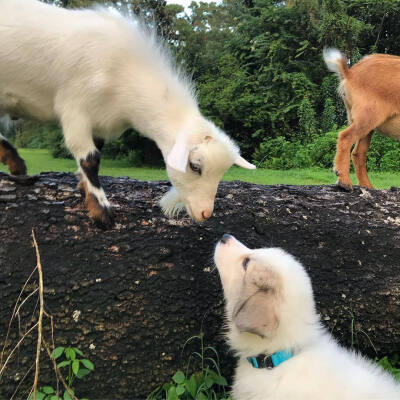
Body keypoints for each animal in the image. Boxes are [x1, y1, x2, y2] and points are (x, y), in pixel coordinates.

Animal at [324, 48, 400, 189]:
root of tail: (350, 73)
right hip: (368, 115)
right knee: (345, 137)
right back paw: (344, 181)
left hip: (366, 124)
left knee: (358, 153)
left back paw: (367, 186)